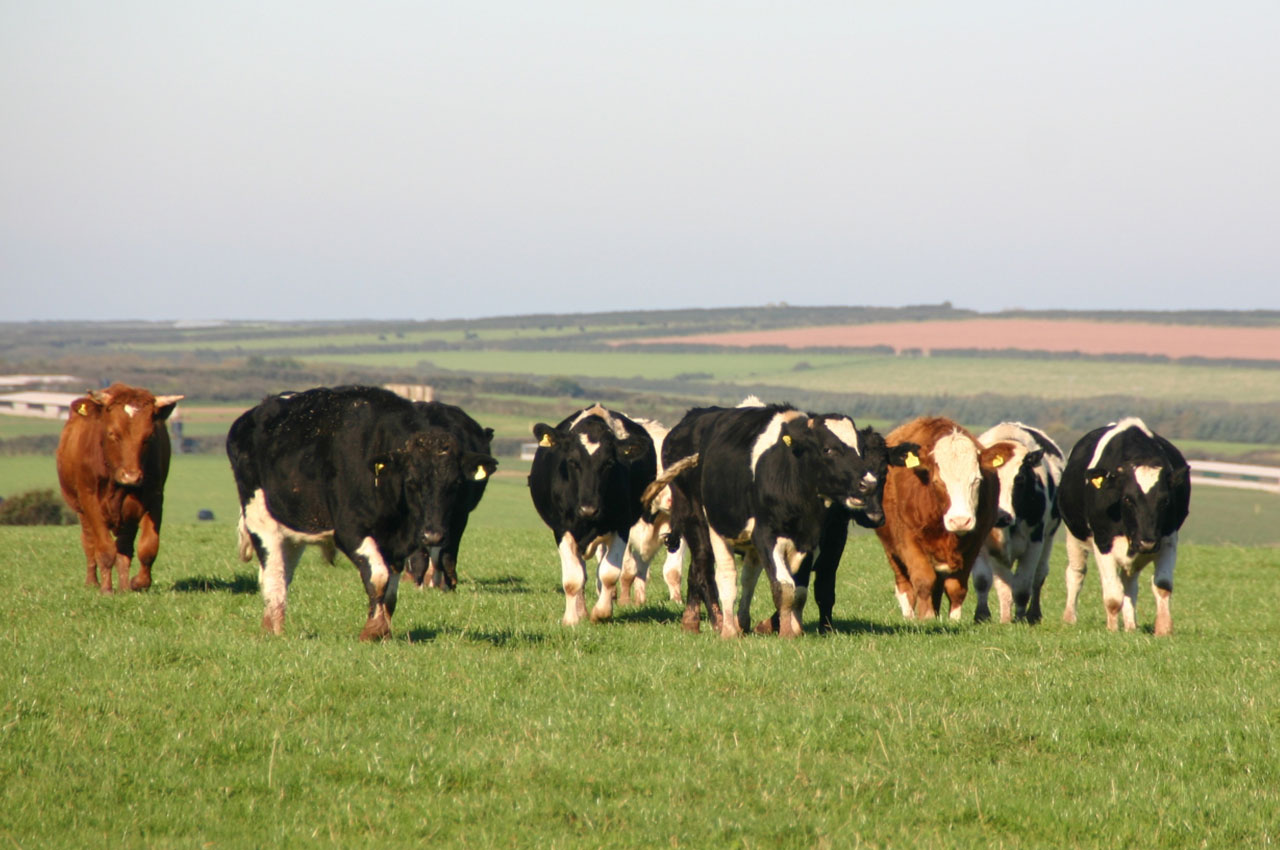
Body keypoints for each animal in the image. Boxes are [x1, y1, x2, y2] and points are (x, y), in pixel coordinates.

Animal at [57, 384, 184, 591]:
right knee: (89, 543)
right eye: (113, 434)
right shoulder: (90, 501)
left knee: (124, 549)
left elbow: (148, 547)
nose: (131, 476)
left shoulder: (154, 499)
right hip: (81, 511)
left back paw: (124, 587)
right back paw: (92, 582)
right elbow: (104, 548)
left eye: (148, 437)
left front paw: (137, 583)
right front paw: (106, 590)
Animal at [404, 399, 494, 591]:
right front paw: (417, 583)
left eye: (456, 483)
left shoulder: (460, 515)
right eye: (412, 482)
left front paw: (448, 585)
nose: (433, 535)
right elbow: (419, 553)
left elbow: (448, 553)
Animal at [875, 417, 1003, 622]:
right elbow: (923, 581)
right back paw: (910, 616)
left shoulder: (975, 542)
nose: (960, 520)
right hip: (891, 549)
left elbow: (956, 588)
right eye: (937, 481)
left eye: (976, 480)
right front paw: (925, 619)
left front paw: (953, 620)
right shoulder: (908, 540)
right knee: (905, 586)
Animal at [1059, 417, 1187, 637]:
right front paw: (1111, 629)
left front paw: (1163, 629)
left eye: (1165, 500)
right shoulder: (1103, 542)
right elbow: (1112, 596)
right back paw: (1069, 618)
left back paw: (1130, 626)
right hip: (1074, 536)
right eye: (1127, 499)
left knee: (1130, 585)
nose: (1147, 542)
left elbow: (1162, 586)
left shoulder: (1168, 539)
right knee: (1076, 573)